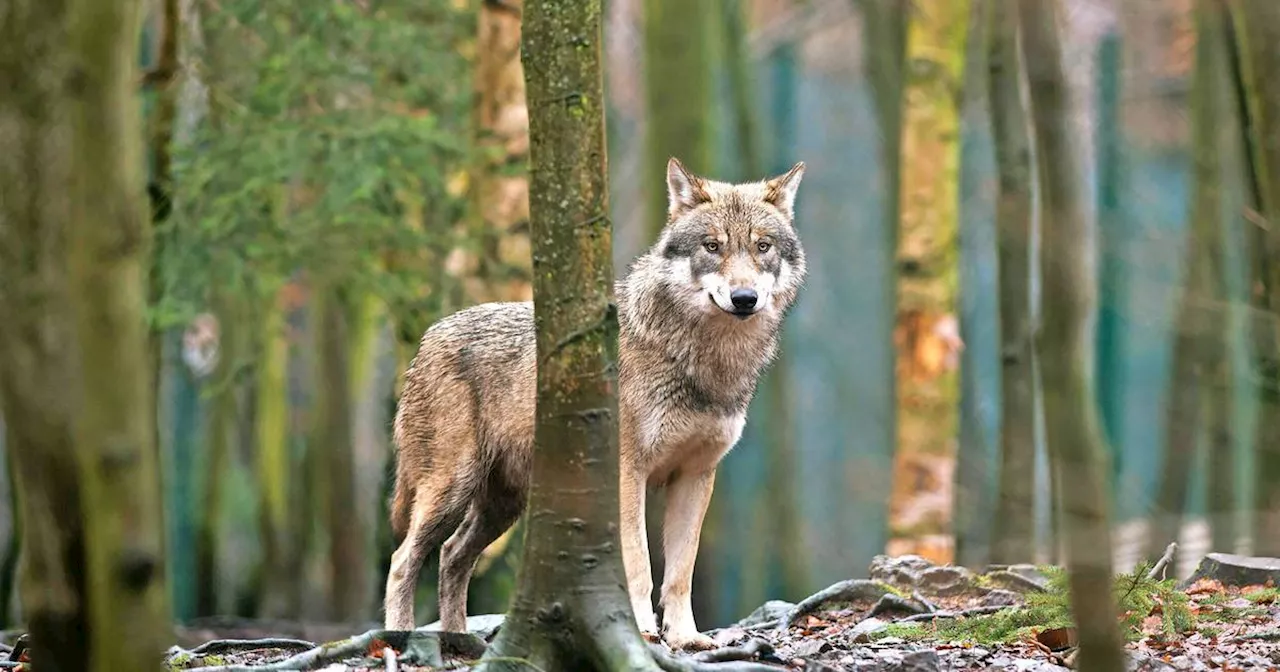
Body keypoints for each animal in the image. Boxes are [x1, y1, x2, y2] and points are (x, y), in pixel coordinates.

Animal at [378, 157, 808, 650]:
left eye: (762, 246)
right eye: (712, 246)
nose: (744, 298)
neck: (704, 362)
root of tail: (428, 336)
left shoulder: (696, 475)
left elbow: (681, 572)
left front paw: (686, 638)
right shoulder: (627, 473)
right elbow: (638, 564)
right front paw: (642, 632)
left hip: (502, 506)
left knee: (451, 555)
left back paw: (459, 642)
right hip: (451, 489)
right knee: (403, 559)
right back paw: (401, 638)